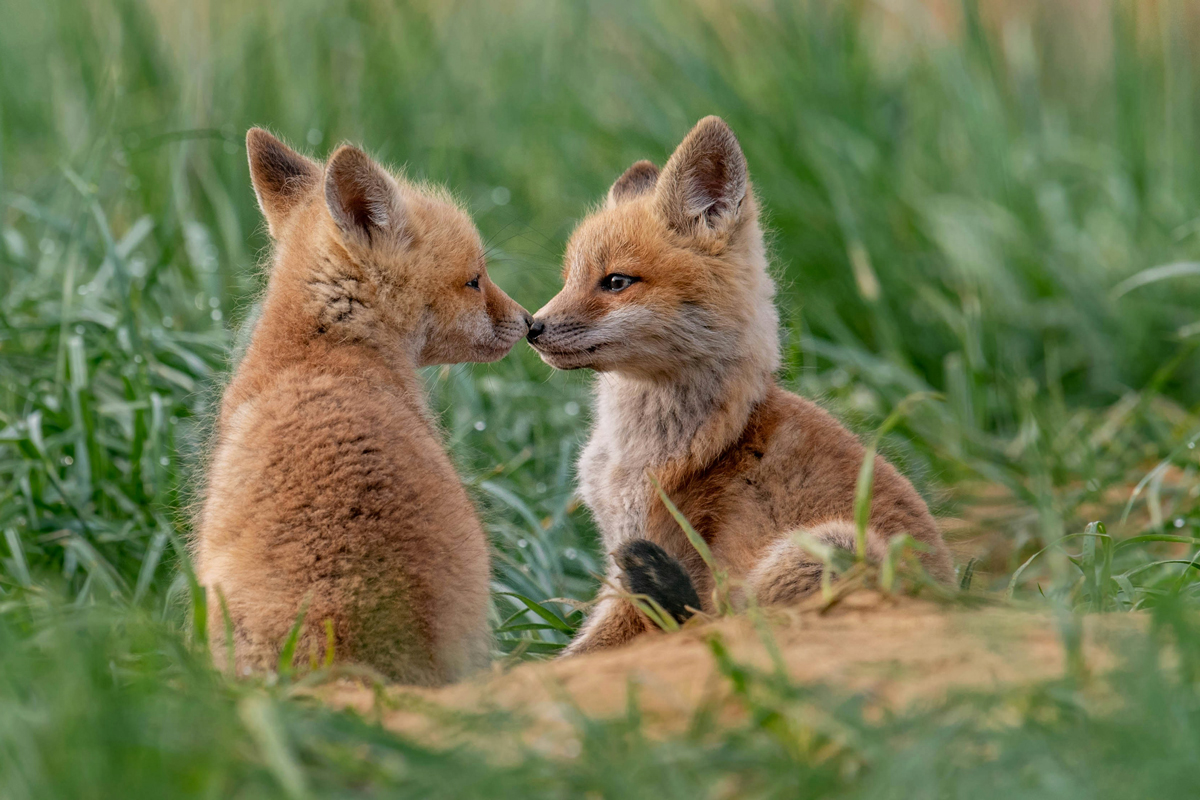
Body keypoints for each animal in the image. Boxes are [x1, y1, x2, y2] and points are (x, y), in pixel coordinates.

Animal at [528, 116, 954, 655]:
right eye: (567, 279)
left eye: (616, 282)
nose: (531, 327)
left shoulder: (651, 553)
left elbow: (577, 653)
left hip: (826, 549)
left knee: (726, 619)